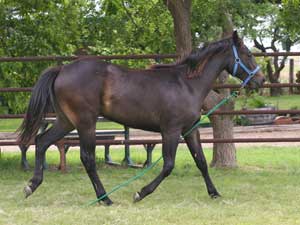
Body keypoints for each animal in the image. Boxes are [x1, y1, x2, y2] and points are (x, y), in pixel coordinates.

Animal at [18, 31, 264, 206]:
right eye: (249, 54)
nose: (260, 80)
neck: (187, 84)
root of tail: (61, 69)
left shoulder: (190, 129)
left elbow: (201, 162)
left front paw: (214, 193)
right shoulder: (171, 130)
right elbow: (168, 165)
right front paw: (140, 193)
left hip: (66, 121)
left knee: (41, 142)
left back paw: (32, 186)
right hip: (85, 123)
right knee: (87, 158)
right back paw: (105, 198)